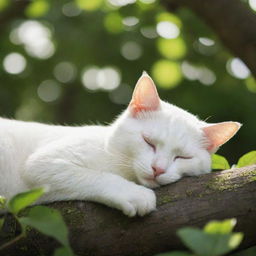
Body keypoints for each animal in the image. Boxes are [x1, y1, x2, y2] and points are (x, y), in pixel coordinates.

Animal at [0, 72, 240, 216]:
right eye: (148, 142)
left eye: (182, 157)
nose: (158, 169)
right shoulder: (42, 162)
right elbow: (98, 176)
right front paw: (135, 194)